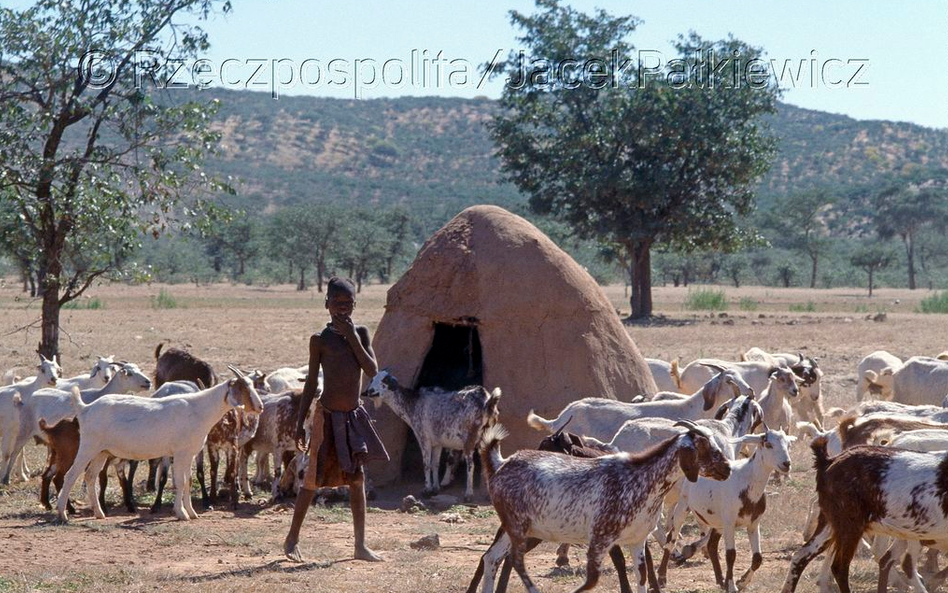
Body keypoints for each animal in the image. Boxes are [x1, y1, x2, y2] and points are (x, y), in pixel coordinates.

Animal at [55, 366, 262, 524]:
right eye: (243, 388)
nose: (260, 407)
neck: (198, 408)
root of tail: (85, 408)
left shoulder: (189, 454)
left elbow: (188, 481)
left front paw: (192, 512)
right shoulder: (180, 453)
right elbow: (180, 481)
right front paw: (182, 513)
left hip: (102, 452)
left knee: (90, 476)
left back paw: (99, 513)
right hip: (88, 447)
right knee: (70, 475)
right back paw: (63, 514)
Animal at [362, 370, 500, 500]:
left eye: (384, 381)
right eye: (372, 380)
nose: (370, 391)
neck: (414, 403)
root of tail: (486, 401)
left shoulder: (424, 438)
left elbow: (426, 464)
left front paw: (427, 489)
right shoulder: (437, 443)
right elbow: (435, 464)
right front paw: (435, 488)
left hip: (469, 439)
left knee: (471, 464)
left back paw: (468, 495)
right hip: (489, 436)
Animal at [478, 418, 728, 592]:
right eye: (705, 447)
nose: (727, 468)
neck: (641, 477)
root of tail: (502, 464)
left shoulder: (637, 540)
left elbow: (641, 577)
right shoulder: (601, 538)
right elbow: (593, 580)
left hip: (513, 530)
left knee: (492, 558)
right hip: (520, 528)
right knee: (515, 560)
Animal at [664, 428, 796, 588]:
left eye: (788, 444)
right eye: (768, 444)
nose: (786, 464)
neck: (747, 480)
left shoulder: (753, 524)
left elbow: (757, 558)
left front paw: (741, 582)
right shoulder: (729, 523)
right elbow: (731, 555)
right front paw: (733, 585)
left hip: (717, 522)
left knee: (712, 545)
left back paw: (721, 580)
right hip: (682, 507)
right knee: (671, 538)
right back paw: (661, 578)